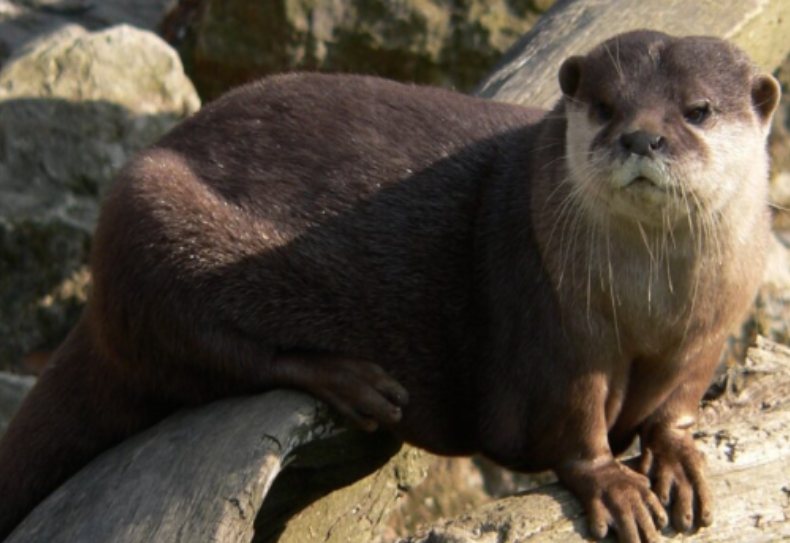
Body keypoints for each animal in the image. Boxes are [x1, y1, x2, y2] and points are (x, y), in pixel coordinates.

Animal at [0, 30, 779, 542]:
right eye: (607, 105)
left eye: (698, 109)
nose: (641, 137)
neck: (651, 307)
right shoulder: (553, 323)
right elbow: (570, 421)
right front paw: (614, 484)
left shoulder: (709, 331)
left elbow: (676, 402)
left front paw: (675, 453)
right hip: (148, 221)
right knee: (208, 350)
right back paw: (355, 381)